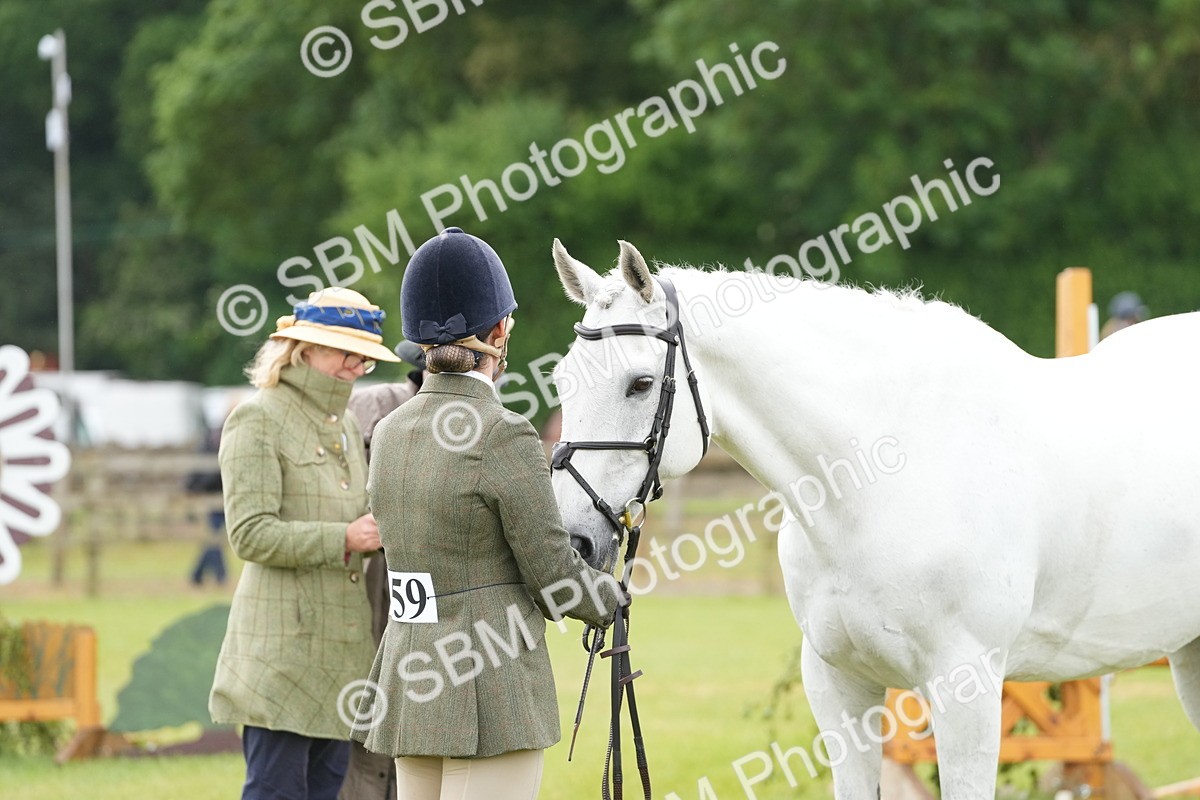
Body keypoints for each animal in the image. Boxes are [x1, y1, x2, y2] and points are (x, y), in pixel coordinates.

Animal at [547, 238, 1200, 799]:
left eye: (639, 384)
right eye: (561, 380)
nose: (574, 541)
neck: (879, 478)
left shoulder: (967, 689)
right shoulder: (839, 686)